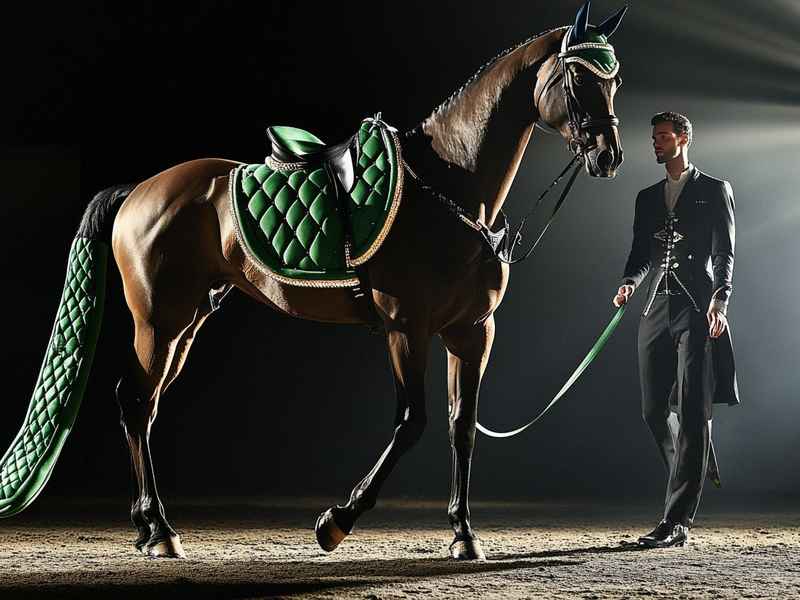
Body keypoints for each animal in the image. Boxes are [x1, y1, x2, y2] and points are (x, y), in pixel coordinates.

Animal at [0, 1, 626, 561]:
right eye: (578, 76)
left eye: (614, 81)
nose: (609, 155)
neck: (448, 186)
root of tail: (140, 190)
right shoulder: (405, 328)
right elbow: (411, 423)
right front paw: (337, 521)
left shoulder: (473, 332)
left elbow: (461, 428)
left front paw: (464, 533)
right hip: (159, 322)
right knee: (134, 402)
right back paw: (158, 529)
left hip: (186, 324)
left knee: (145, 405)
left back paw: (146, 524)